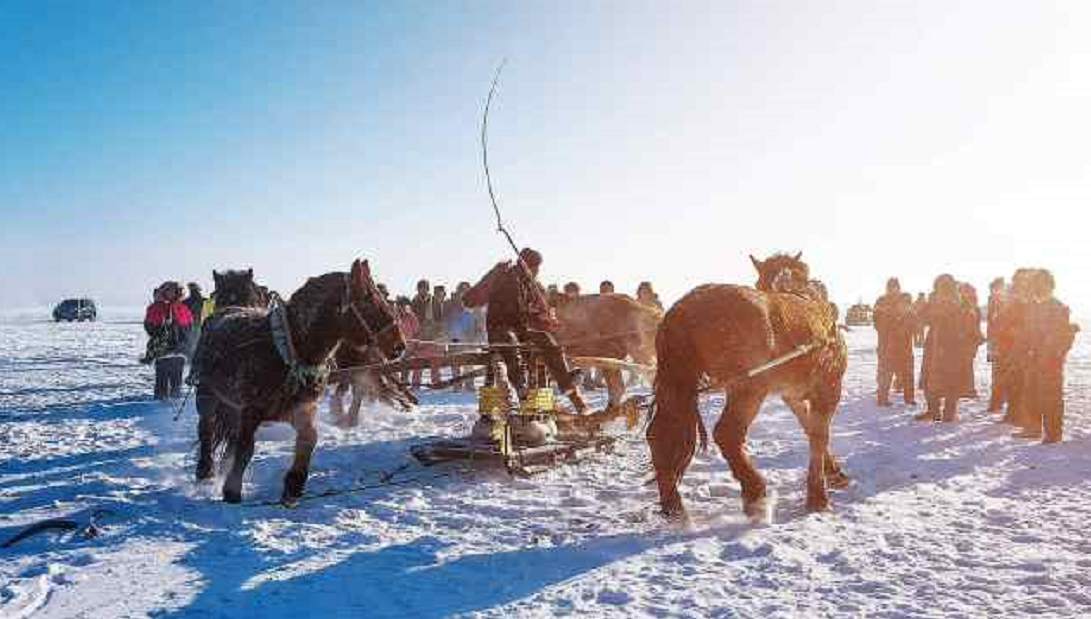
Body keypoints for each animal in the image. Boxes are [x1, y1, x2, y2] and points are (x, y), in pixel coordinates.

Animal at [193, 258, 405, 506]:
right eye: (368, 300)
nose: (400, 346)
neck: (288, 349)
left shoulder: (301, 407)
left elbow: (309, 439)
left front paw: (293, 485)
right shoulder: (250, 410)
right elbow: (245, 448)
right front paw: (232, 491)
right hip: (207, 396)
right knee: (206, 428)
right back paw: (204, 470)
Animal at [641, 252, 846, 517]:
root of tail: (684, 308)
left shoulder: (792, 395)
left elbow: (809, 427)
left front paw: (832, 471)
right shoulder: (829, 387)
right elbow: (819, 435)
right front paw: (818, 495)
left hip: (677, 384)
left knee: (660, 435)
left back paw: (673, 505)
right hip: (748, 388)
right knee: (727, 433)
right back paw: (754, 491)